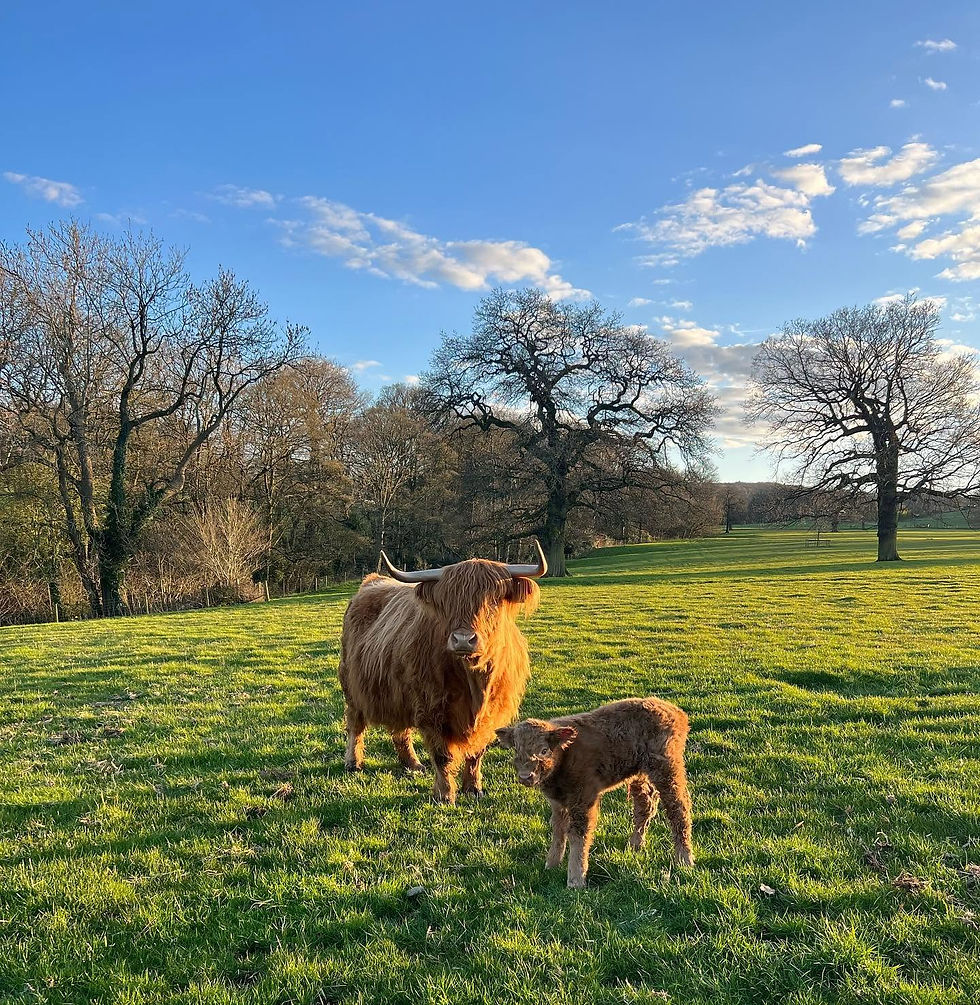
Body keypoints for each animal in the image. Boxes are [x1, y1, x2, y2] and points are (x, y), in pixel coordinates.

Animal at [338, 542, 546, 803]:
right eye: (447, 602)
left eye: (493, 600)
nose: (463, 640)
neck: (474, 682)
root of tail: (373, 580)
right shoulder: (431, 709)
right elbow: (442, 756)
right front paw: (445, 795)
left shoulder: (491, 714)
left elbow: (476, 753)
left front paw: (473, 788)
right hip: (352, 684)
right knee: (355, 724)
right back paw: (353, 762)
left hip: (398, 690)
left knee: (401, 730)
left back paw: (412, 764)